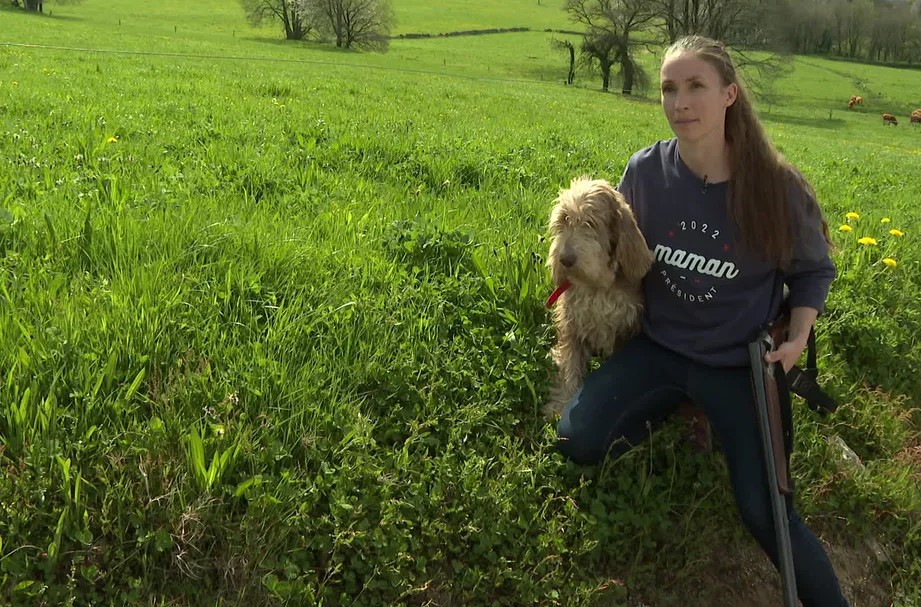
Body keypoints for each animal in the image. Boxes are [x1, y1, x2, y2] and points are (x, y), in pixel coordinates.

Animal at [548, 178, 656, 420]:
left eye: (590, 223)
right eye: (564, 219)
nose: (565, 259)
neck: (597, 286)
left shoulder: (625, 329)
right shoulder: (571, 326)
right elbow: (570, 368)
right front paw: (562, 405)